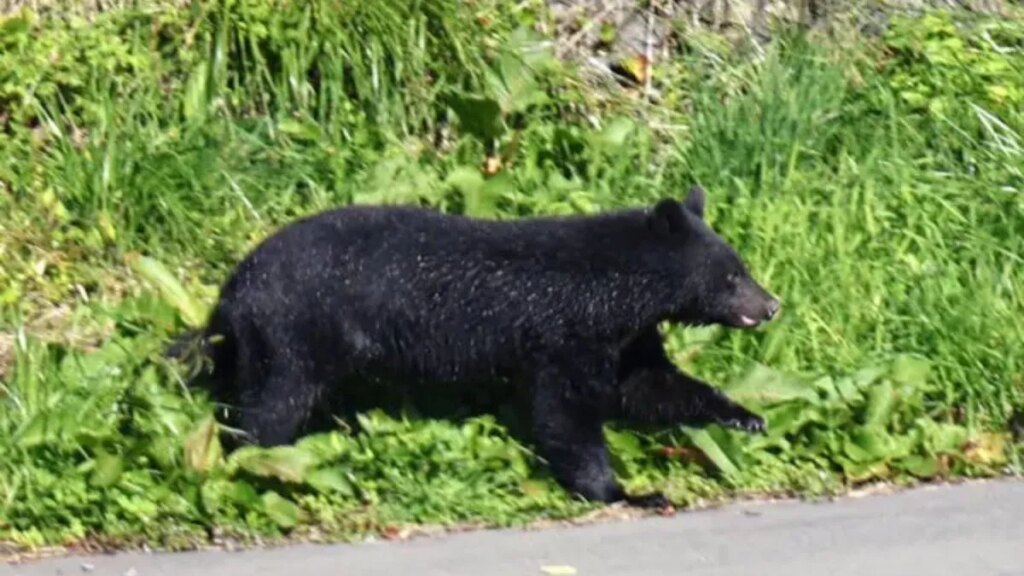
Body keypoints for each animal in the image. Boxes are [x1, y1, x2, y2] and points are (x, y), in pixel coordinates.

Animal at [170, 186, 780, 509]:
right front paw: (622, 491)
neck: (614, 289)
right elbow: (566, 413)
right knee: (273, 405)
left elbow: (650, 384)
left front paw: (745, 415)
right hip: (296, 331)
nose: (771, 304)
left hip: (262, 339)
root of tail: (232, 290)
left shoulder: (625, 338)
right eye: (731, 276)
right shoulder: (564, 334)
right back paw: (259, 468)